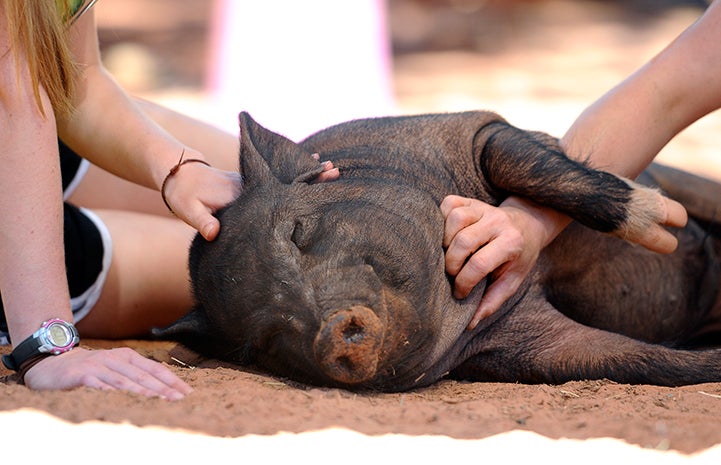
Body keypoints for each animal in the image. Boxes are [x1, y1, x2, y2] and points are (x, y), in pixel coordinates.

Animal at [156, 110, 720, 390]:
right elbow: (636, 362)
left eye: (298, 232)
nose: (330, 331)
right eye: (263, 341)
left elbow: (533, 167)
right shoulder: (516, 347)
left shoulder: (473, 128)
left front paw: (662, 224)